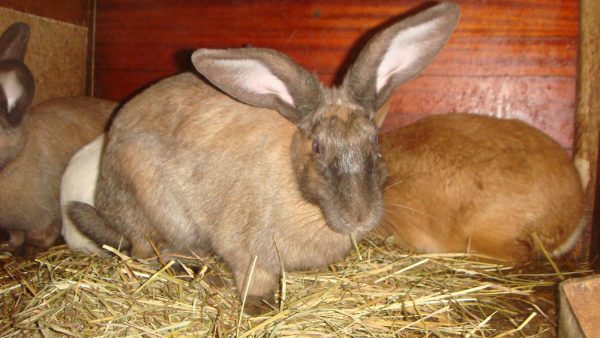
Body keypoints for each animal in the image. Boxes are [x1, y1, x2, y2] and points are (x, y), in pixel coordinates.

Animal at [0, 21, 116, 254]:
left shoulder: (44, 216)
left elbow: (40, 235)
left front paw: (27, 249)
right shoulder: (15, 226)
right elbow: (16, 235)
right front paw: (9, 247)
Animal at [70, 1, 462, 314]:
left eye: (375, 141)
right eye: (316, 147)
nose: (359, 217)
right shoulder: (248, 253)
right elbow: (254, 280)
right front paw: (262, 308)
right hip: (161, 214)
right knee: (148, 253)